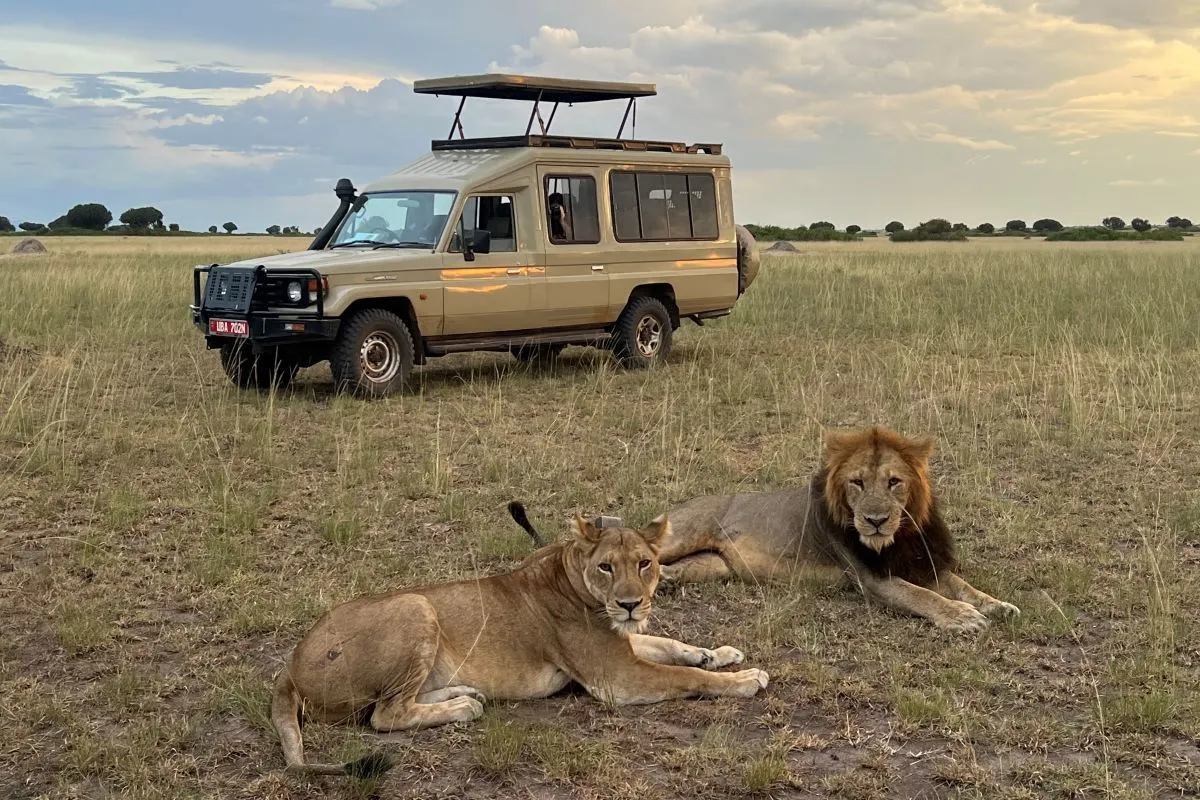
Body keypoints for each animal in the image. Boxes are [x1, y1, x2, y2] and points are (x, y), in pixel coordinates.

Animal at [271, 508, 769, 777]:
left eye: (645, 563)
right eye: (607, 566)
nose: (630, 604)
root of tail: (289, 667)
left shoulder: (621, 647)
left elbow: (669, 644)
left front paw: (719, 653)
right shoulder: (617, 678)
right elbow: (683, 675)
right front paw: (745, 679)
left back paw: (463, 692)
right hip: (416, 605)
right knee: (384, 715)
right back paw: (462, 707)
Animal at [652, 426, 1020, 633]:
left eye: (894, 482)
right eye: (857, 483)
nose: (875, 520)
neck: (898, 536)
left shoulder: (922, 563)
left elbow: (961, 586)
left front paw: (998, 606)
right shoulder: (873, 579)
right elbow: (923, 595)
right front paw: (962, 617)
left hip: (715, 565)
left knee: (678, 567)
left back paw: (666, 581)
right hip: (684, 533)